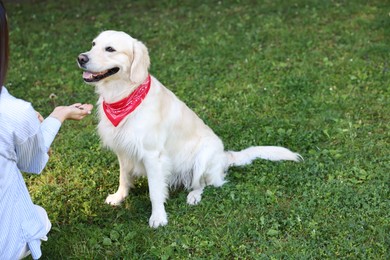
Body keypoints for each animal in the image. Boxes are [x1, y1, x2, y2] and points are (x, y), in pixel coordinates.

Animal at [77, 30, 302, 229]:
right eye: (93, 44)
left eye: (110, 49)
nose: (81, 58)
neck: (123, 95)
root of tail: (224, 156)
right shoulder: (123, 149)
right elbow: (124, 177)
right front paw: (119, 197)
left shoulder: (152, 155)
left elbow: (155, 192)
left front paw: (158, 217)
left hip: (204, 157)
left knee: (205, 183)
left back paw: (194, 196)